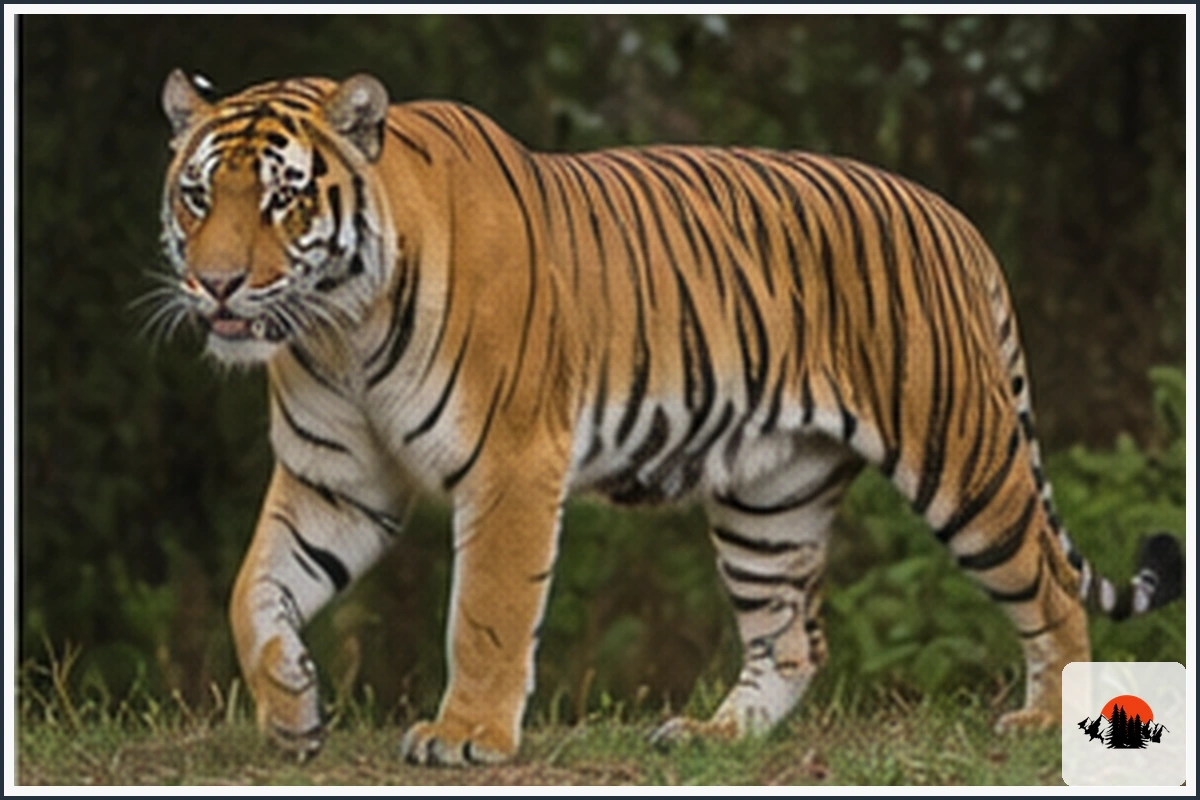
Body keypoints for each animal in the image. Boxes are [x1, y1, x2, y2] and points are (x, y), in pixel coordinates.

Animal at [154, 69, 1182, 765]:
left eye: (282, 198)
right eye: (199, 194)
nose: (216, 285)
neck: (341, 328)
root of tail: (956, 219)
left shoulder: (512, 464)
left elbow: (485, 611)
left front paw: (466, 734)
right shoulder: (334, 480)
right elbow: (255, 591)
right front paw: (292, 711)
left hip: (962, 456)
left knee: (1050, 583)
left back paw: (1041, 717)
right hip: (772, 497)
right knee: (792, 639)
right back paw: (714, 736)